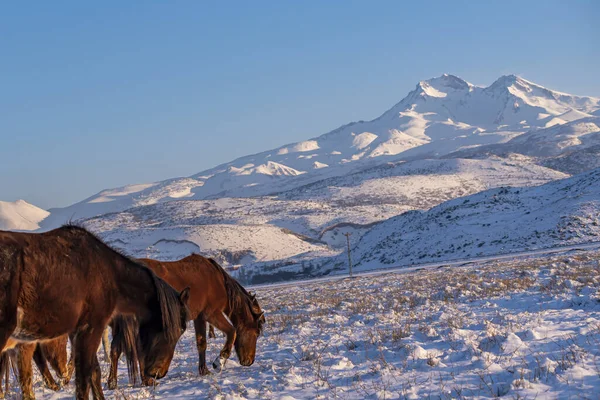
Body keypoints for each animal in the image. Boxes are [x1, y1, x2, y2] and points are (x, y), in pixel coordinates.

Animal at [0, 225, 190, 400]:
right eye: (178, 329)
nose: (159, 373)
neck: (111, 273)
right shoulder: (91, 328)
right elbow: (84, 380)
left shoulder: (79, 332)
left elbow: (94, 373)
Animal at [107, 255, 264, 390]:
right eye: (256, 333)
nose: (249, 361)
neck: (216, 280)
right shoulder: (211, 314)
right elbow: (232, 331)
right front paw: (219, 361)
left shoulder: (199, 317)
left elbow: (202, 343)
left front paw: (204, 370)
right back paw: (146, 380)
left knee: (115, 349)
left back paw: (113, 382)